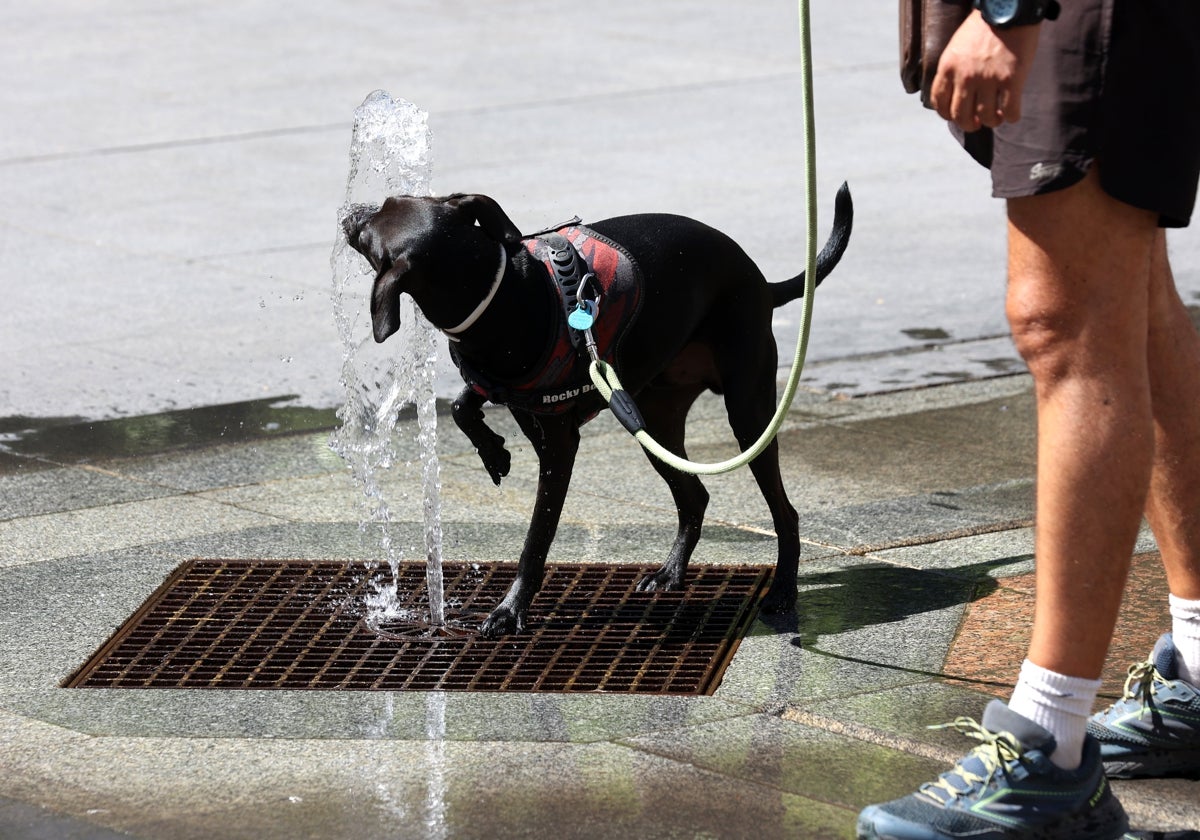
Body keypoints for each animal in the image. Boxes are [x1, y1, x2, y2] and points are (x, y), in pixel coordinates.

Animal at [348, 188, 854, 638]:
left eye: (377, 222)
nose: (350, 212)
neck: (504, 293)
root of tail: (761, 281)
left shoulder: (558, 445)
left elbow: (536, 539)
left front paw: (510, 611)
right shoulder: (495, 385)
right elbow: (461, 405)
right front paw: (494, 453)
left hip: (747, 412)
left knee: (784, 512)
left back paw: (783, 590)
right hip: (650, 419)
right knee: (694, 497)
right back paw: (671, 572)